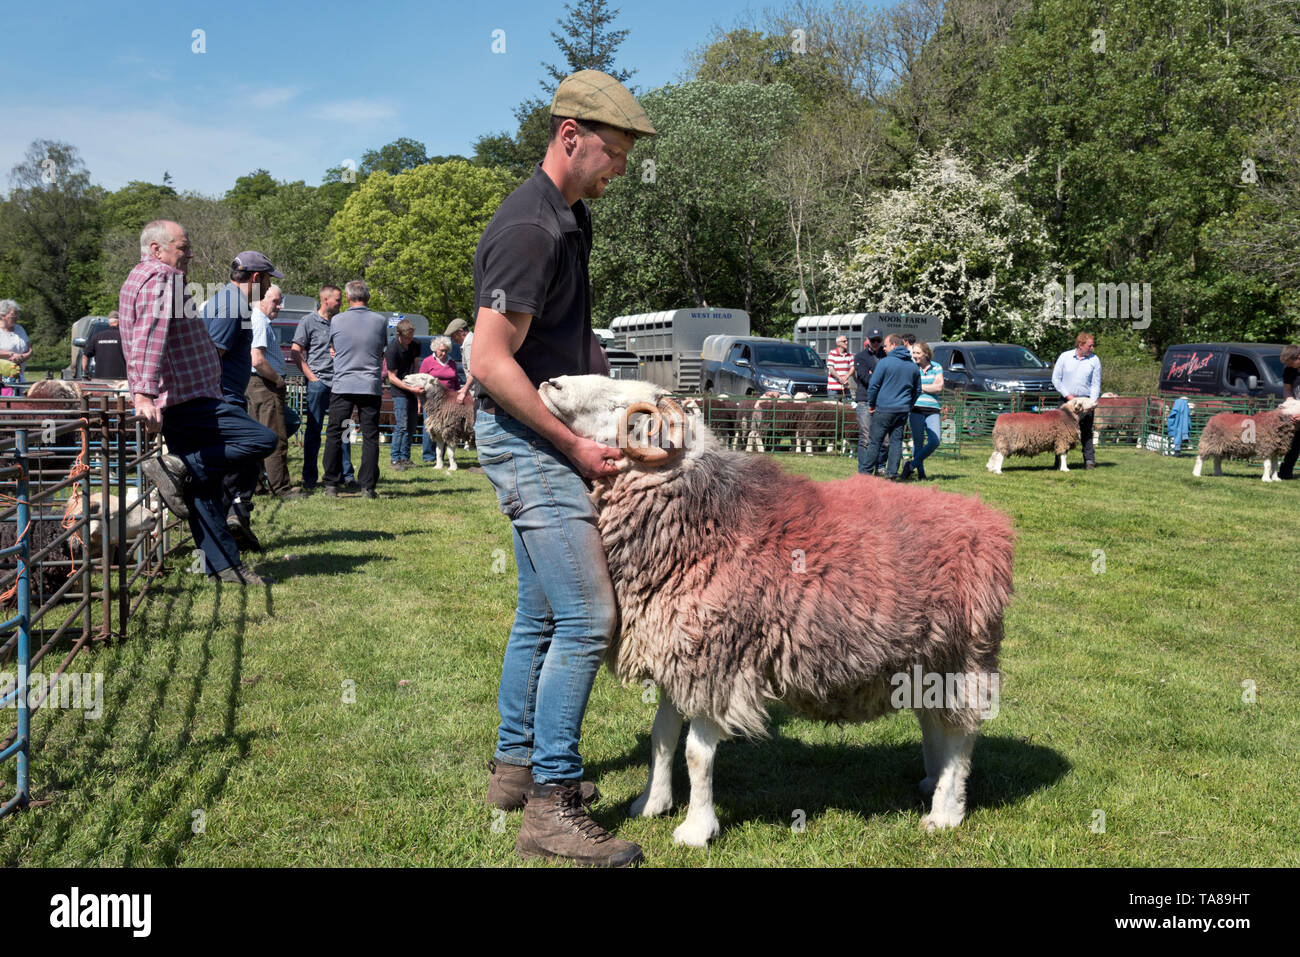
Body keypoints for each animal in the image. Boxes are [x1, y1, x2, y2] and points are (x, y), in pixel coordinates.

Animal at [535, 374, 1013, 842]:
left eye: (627, 410)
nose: (551, 383)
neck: (703, 519)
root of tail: (990, 522)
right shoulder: (677, 650)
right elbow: (662, 737)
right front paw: (651, 804)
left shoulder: (717, 659)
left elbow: (696, 753)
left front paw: (696, 828)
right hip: (923, 656)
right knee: (933, 719)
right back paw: (932, 781)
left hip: (961, 653)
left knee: (959, 733)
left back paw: (945, 810)